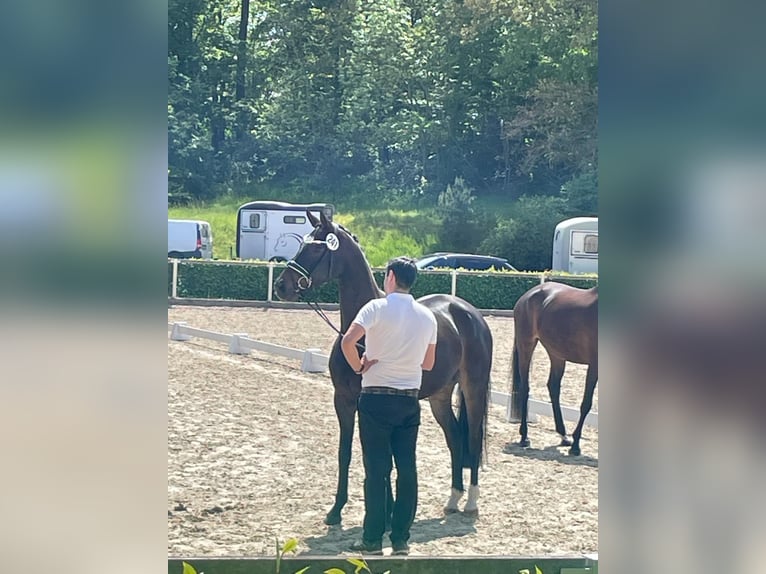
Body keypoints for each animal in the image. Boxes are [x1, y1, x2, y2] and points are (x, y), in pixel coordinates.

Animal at [272, 212, 496, 528]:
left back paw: (471, 503)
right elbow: (346, 453)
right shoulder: (344, 400)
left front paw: (385, 514)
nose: (281, 286)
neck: (361, 331)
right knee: (454, 438)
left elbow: (380, 459)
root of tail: (469, 312)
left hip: (473, 389)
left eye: (316, 249)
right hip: (439, 396)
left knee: (473, 439)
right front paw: (337, 510)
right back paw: (453, 499)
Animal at [512, 282, 604, 456]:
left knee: (553, 387)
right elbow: (586, 403)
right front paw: (576, 446)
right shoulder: (595, 365)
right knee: (525, 388)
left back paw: (563, 435)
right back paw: (524, 437)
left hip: (557, 354)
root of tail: (528, 295)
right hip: (526, 345)